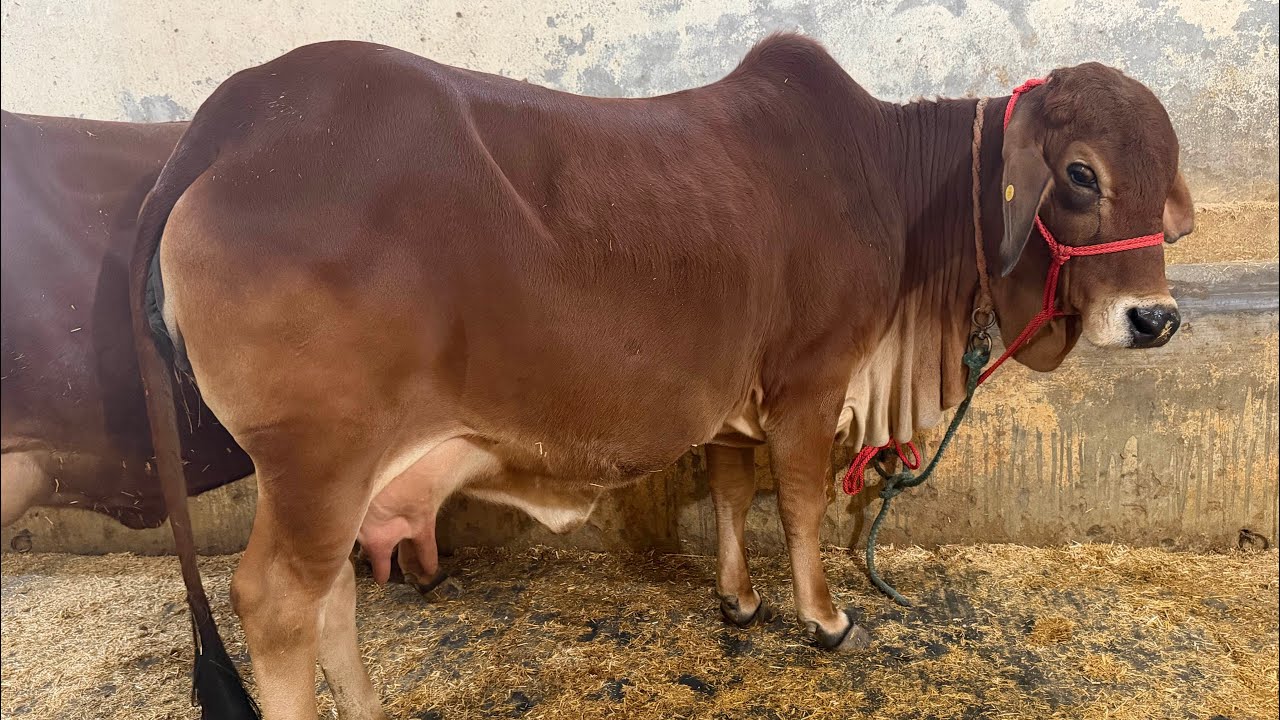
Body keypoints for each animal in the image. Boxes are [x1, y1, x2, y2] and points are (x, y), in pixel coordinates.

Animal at [131, 33, 1194, 719]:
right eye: (1082, 172)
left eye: (1166, 169)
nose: (1157, 319)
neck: (896, 193)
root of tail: (237, 113)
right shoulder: (809, 381)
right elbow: (798, 502)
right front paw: (825, 618)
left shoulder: (729, 402)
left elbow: (727, 490)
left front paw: (739, 601)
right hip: (317, 460)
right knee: (277, 602)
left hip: (337, 474)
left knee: (333, 597)